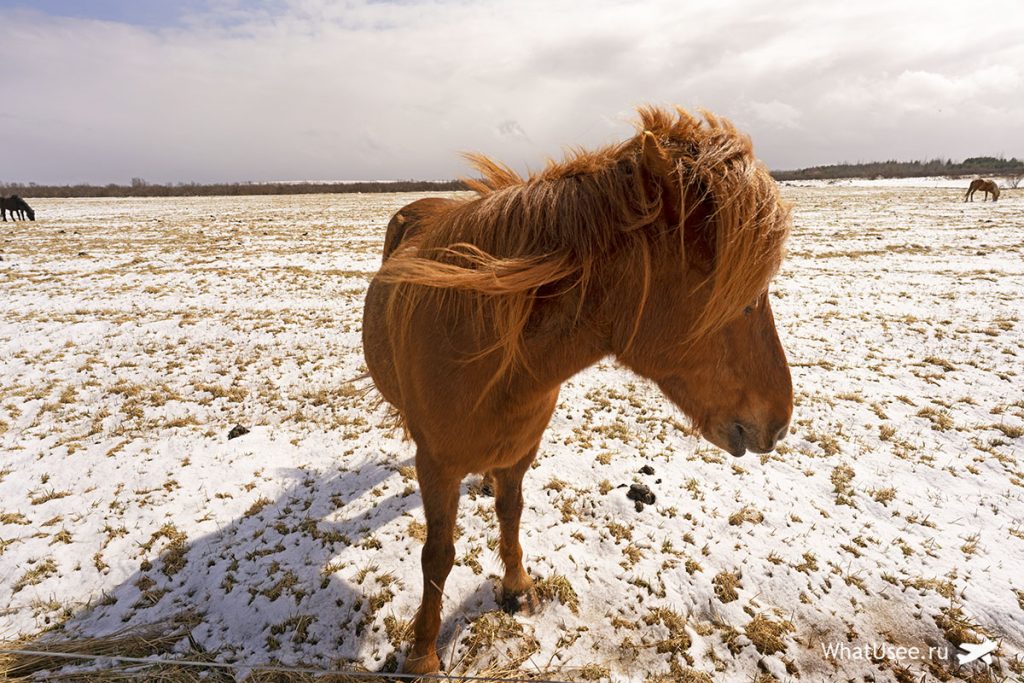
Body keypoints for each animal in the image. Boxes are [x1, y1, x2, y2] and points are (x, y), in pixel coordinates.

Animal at [362, 106, 793, 675]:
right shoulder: (436, 465)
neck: (489, 354)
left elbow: (511, 512)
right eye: (740, 298)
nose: (781, 421)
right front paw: (423, 655)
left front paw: (517, 587)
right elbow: (438, 556)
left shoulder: (521, 450)